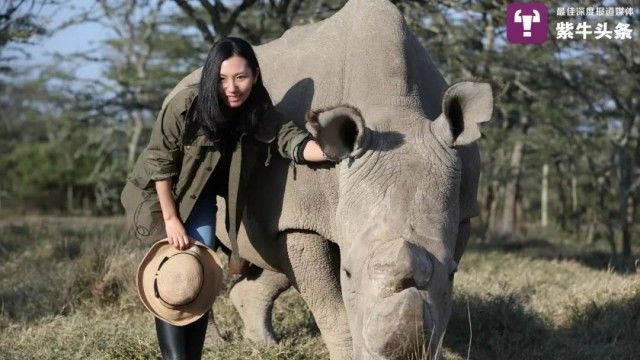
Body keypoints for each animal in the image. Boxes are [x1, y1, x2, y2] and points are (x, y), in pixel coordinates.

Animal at [164, 0, 490, 358]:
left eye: (454, 273)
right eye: (347, 272)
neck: (395, 110)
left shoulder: (463, 210)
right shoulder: (301, 217)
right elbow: (331, 305)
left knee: (272, 259)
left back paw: (261, 343)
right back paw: (217, 344)